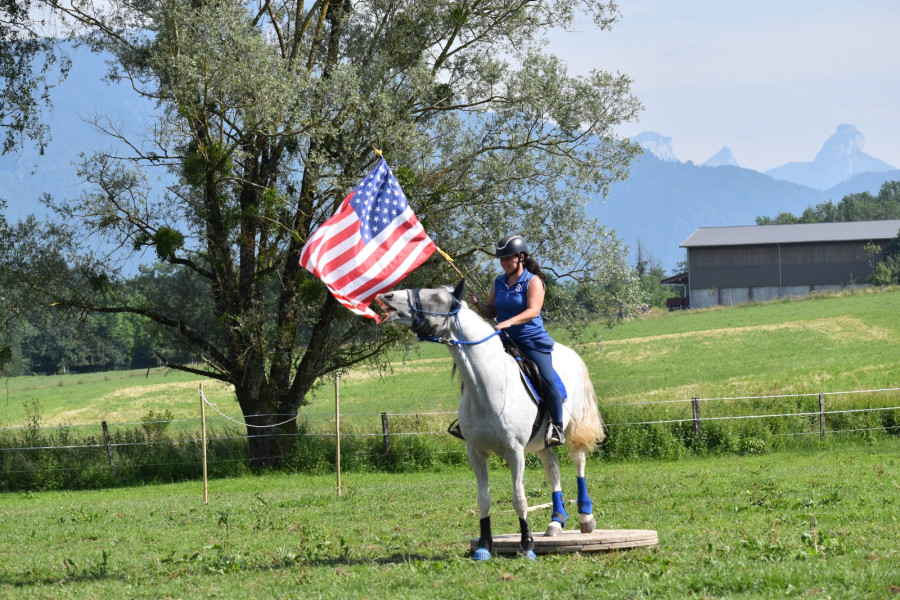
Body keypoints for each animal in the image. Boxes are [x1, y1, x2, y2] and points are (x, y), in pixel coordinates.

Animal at [376, 278, 608, 560]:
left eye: (436, 297)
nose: (386, 296)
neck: (488, 386)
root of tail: (571, 354)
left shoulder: (515, 453)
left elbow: (519, 499)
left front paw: (527, 546)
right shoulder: (476, 453)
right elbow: (483, 499)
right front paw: (485, 546)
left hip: (573, 429)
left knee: (578, 462)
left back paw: (585, 518)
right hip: (540, 440)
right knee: (552, 467)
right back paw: (556, 522)